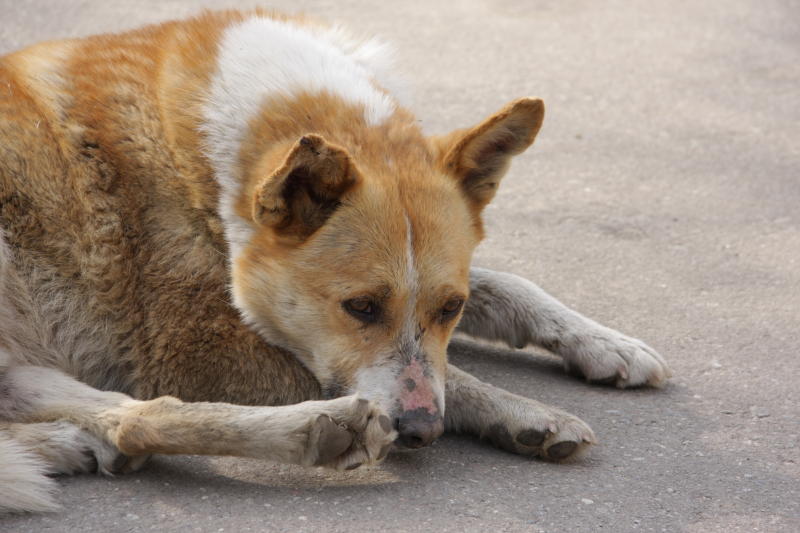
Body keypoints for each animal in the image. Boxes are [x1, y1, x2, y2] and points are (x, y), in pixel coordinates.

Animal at [0, 8, 672, 512]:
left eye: (450, 308)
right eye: (360, 307)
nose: (423, 434)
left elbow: (507, 286)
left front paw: (605, 343)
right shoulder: (194, 349)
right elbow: (451, 379)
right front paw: (520, 410)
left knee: (119, 418)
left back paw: (65, 444)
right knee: (147, 415)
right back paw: (317, 430)